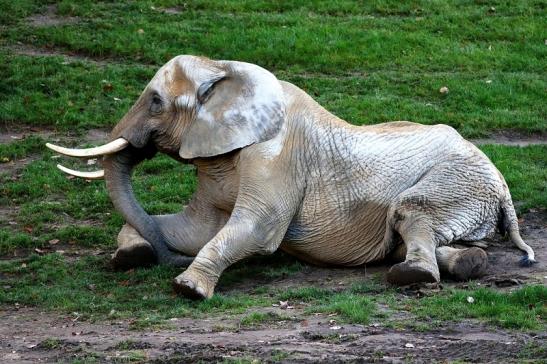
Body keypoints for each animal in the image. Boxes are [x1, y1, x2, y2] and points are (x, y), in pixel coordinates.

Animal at [47, 54, 536, 298]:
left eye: (154, 102)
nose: (163, 261)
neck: (227, 72)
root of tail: (505, 189)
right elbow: (196, 228)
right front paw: (133, 255)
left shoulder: (276, 154)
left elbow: (256, 229)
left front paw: (187, 288)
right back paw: (464, 263)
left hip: (459, 179)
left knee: (411, 211)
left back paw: (412, 276)